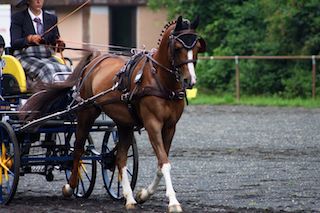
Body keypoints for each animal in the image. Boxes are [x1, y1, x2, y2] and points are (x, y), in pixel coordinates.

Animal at [20, 15, 205, 212]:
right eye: (177, 48)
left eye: (197, 47)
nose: (190, 80)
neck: (160, 81)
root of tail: (96, 59)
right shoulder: (152, 124)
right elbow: (164, 163)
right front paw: (173, 202)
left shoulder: (170, 127)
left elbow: (161, 164)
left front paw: (143, 194)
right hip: (87, 112)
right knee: (78, 148)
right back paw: (70, 186)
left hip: (124, 123)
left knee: (120, 157)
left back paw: (129, 198)